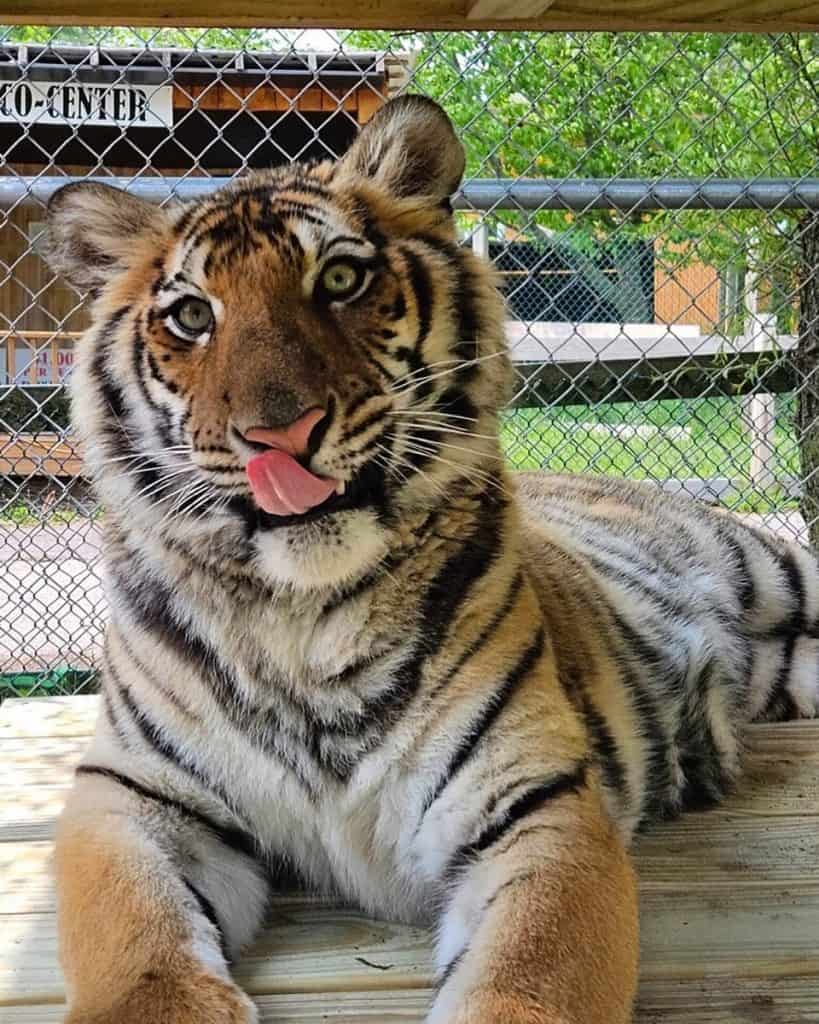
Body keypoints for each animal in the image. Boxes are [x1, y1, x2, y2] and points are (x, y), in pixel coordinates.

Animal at [44, 94, 819, 1024]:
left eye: (340, 280)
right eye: (192, 317)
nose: (280, 434)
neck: (298, 621)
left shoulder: (532, 805)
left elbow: (528, 980)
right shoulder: (133, 796)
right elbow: (137, 950)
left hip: (771, 568)